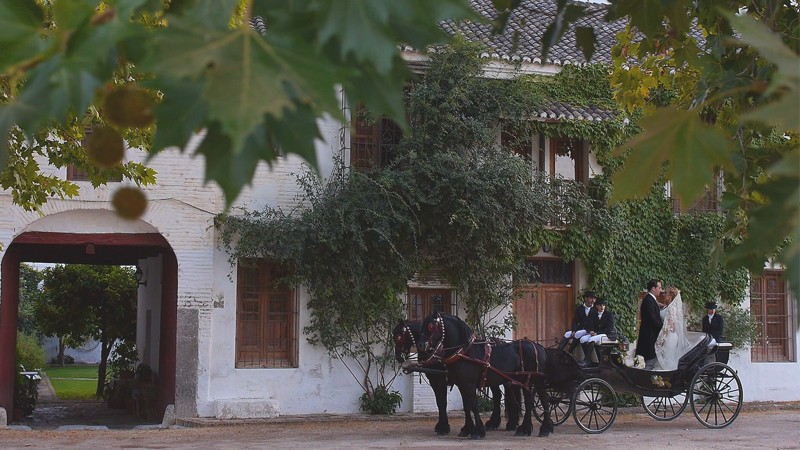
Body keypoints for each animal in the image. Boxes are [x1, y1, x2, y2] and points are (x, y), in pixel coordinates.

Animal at [390, 318, 520, 434]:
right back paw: (494, 423)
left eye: (399, 337)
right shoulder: (435, 381)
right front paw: (443, 425)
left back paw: (511, 423)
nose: (398, 356)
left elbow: (442, 402)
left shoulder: (441, 381)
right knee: (498, 396)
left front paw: (444, 427)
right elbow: (440, 402)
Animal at [418, 312, 556, 440]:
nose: (420, 346)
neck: (465, 351)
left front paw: (478, 432)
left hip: (537, 380)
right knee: (528, 402)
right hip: (526, 381)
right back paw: (524, 429)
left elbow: (473, 405)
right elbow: (466, 406)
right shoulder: (461, 384)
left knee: (544, 400)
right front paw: (466, 429)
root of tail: (539, 347)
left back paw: (544, 428)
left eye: (431, 326)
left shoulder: (468, 384)